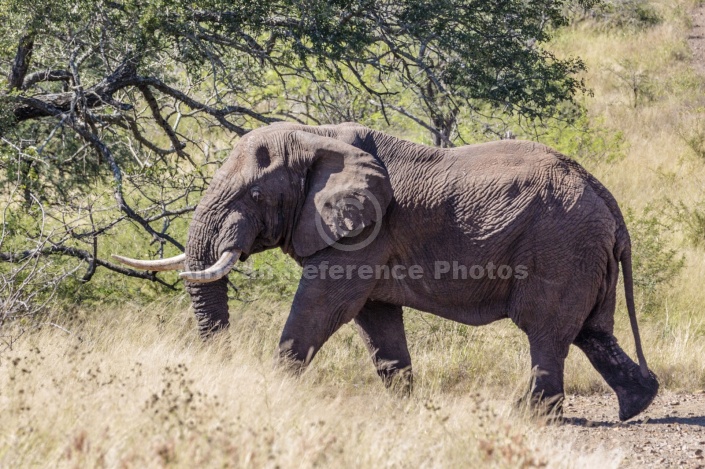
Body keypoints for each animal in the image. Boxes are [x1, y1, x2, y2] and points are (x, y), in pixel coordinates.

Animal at [115, 122, 660, 418]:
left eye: (255, 195)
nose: (223, 374)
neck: (315, 136)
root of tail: (607, 198)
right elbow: (375, 320)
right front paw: (406, 408)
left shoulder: (364, 234)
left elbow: (323, 306)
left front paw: (274, 392)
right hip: (584, 253)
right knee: (592, 332)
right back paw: (637, 403)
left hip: (560, 248)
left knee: (547, 333)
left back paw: (527, 419)